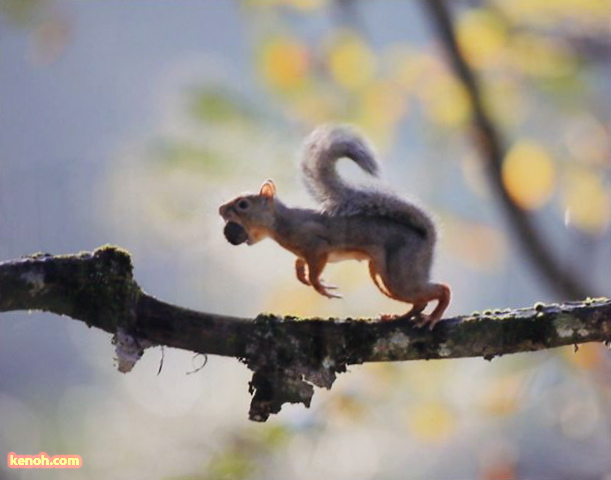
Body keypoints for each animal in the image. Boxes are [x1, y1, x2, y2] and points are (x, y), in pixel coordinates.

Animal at [219, 123, 450, 330]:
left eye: (242, 204)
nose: (220, 209)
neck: (283, 223)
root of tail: (427, 238)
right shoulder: (305, 252)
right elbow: (299, 263)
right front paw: (301, 275)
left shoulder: (316, 243)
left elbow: (315, 269)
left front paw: (320, 286)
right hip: (381, 274)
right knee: (419, 303)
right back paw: (397, 317)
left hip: (400, 272)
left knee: (441, 290)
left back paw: (432, 316)